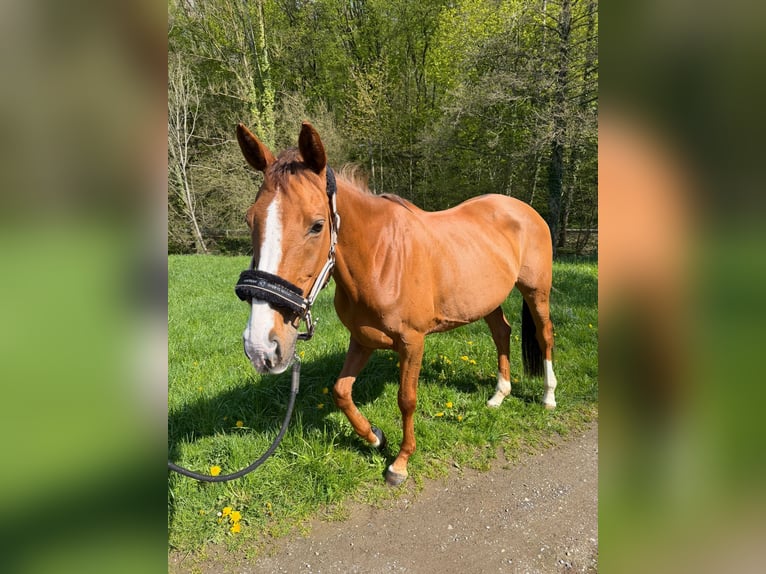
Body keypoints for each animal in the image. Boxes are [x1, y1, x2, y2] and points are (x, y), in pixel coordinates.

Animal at [235, 121, 558, 486]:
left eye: (317, 225)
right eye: (250, 220)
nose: (261, 347)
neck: (381, 258)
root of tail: (524, 210)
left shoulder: (412, 342)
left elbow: (407, 400)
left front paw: (400, 462)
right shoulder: (362, 339)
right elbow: (341, 391)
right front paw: (375, 437)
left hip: (536, 291)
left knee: (545, 334)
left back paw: (548, 396)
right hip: (487, 299)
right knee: (502, 333)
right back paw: (499, 395)